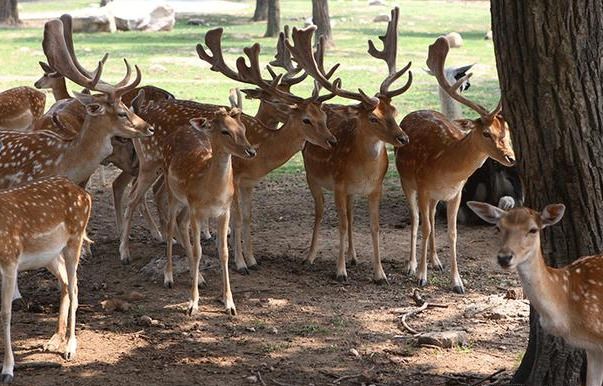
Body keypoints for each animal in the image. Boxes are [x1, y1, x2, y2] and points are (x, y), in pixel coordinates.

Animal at [0, 176, 91, 384]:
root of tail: (84, 193)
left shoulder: (9, 261)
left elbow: (6, 313)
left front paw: (7, 370)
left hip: (75, 239)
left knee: (73, 289)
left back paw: (70, 347)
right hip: (50, 254)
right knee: (66, 284)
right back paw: (54, 340)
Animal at [286, 8, 412, 284]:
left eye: (394, 111)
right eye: (373, 118)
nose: (403, 138)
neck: (364, 170)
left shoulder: (376, 188)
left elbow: (374, 226)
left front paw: (380, 273)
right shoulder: (339, 185)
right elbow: (341, 224)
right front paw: (340, 270)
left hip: (349, 192)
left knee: (352, 215)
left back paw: (353, 256)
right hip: (313, 177)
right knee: (321, 213)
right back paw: (310, 256)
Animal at [396, 37, 520, 296]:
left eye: (505, 131)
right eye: (486, 132)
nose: (511, 157)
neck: (446, 164)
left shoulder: (455, 194)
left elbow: (452, 234)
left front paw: (457, 282)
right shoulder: (424, 187)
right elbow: (424, 227)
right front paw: (421, 277)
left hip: (435, 196)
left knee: (432, 218)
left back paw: (436, 261)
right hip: (407, 181)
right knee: (417, 219)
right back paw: (412, 265)